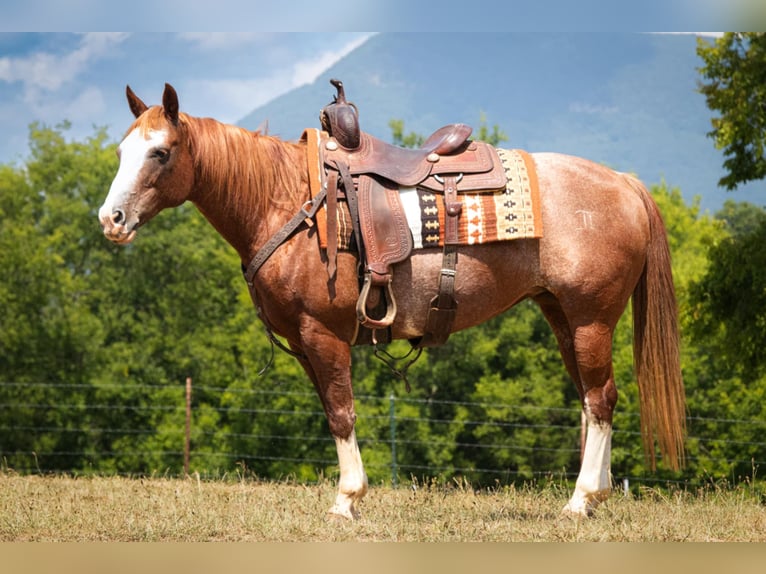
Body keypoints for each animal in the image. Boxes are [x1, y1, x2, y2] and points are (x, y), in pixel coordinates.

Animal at [99, 83, 688, 520]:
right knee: (593, 399)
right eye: (123, 151)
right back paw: (595, 495)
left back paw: (582, 499)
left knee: (602, 399)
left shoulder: (324, 334)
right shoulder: (306, 343)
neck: (287, 202)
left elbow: (341, 412)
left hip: (591, 319)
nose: (111, 219)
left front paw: (347, 499)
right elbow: (331, 412)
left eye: (160, 152)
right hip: (562, 315)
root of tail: (625, 183)